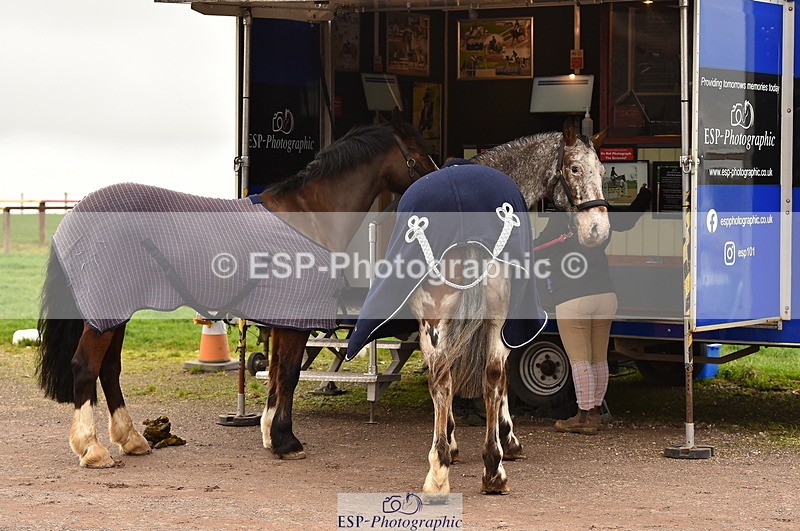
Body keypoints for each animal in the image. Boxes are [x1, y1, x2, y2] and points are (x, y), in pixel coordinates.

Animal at [36, 113, 437, 468]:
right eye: (419, 154)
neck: (309, 215)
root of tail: (72, 219)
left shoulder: (282, 319)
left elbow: (276, 374)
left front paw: (271, 435)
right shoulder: (295, 317)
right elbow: (288, 374)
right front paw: (286, 442)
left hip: (114, 312)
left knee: (109, 370)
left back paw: (132, 440)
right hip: (105, 312)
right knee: (86, 368)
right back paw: (93, 450)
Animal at [347, 119, 610, 494]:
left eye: (601, 171)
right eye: (574, 168)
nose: (597, 230)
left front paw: (462, 440)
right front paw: (503, 437)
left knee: (450, 377)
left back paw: (451, 466)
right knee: (482, 375)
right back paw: (484, 466)